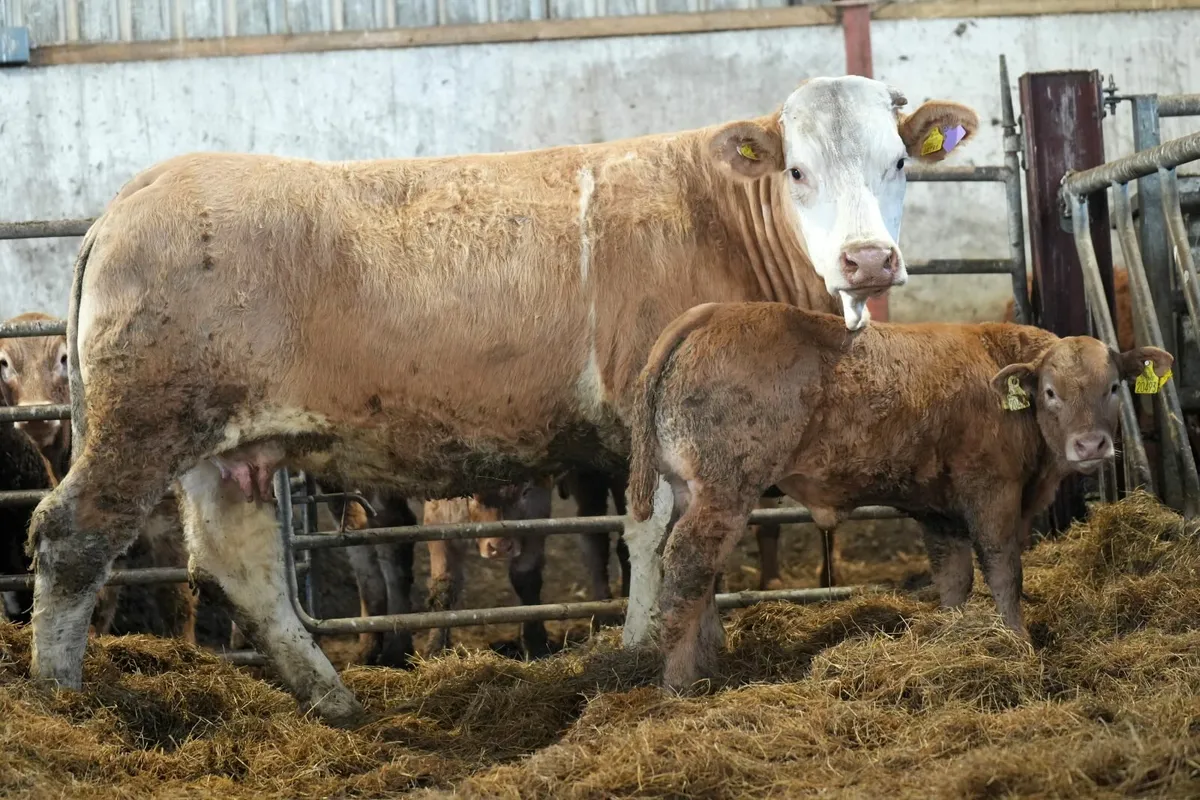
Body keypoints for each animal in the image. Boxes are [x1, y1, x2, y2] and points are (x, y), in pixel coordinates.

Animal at [28, 75, 978, 724]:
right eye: (798, 169)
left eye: (899, 161)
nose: (868, 260)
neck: (718, 222)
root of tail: (135, 197)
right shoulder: (646, 417)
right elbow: (653, 538)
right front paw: (642, 659)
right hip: (144, 423)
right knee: (72, 538)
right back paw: (56, 696)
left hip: (224, 446)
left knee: (240, 561)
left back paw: (334, 699)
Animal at [627, 301, 1172, 689]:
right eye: (1051, 392)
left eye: (1114, 387)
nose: (1090, 445)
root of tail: (713, 312)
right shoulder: (991, 490)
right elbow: (1003, 570)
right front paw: (1018, 643)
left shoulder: (939, 509)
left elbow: (954, 578)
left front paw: (954, 638)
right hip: (726, 489)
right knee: (687, 565)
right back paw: (680, 683)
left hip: (691, 491)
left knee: (701, 574)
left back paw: (706, 662)